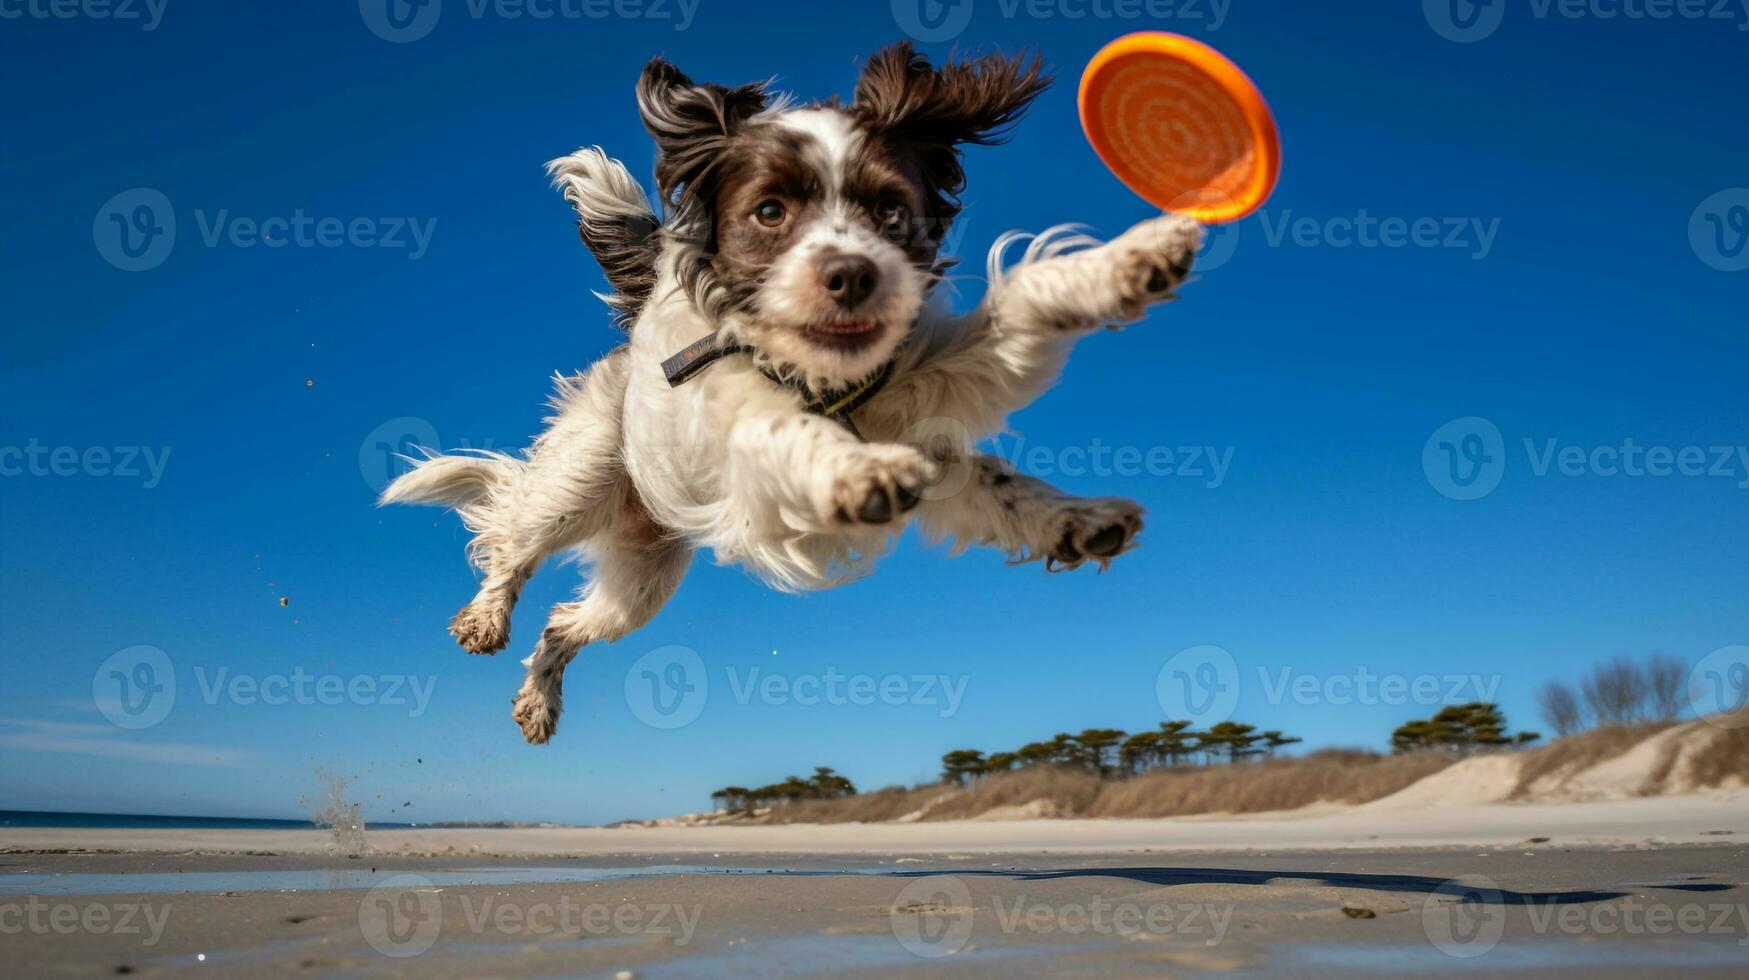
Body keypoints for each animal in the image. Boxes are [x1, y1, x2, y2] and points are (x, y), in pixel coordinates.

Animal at [383, 43, 1203, 742]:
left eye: (891, 209)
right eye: (769, 211)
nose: (851, 274)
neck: (826, 381)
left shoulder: (928, 404)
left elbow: (1011, 395)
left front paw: (1127, 267)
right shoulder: (749, 441)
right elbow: (791, 432)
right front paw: (857, 472)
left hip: (644, 577)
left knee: (563, 621)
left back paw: (537, 701)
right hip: (583, 479)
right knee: (513, 535)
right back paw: (485, 619)